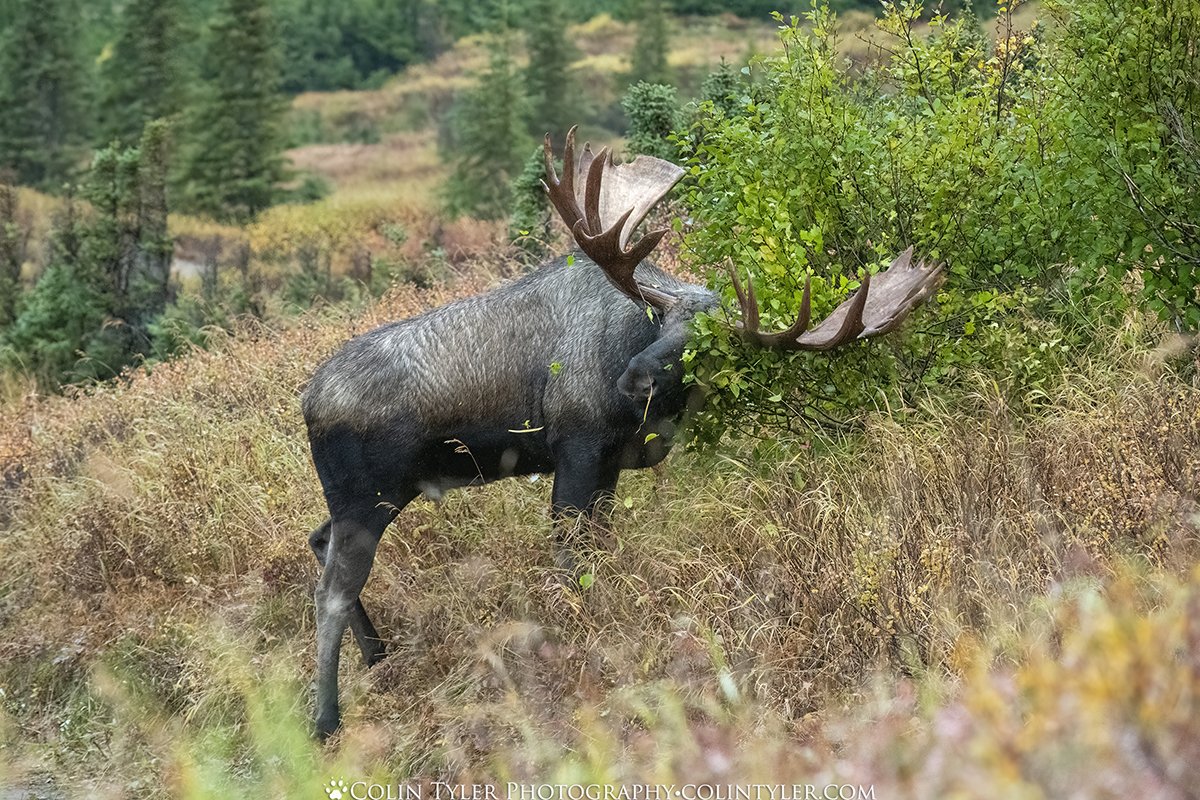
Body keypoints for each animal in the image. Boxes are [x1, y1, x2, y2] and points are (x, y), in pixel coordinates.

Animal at [301, 127, 944, 739]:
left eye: (710, 346)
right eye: (663, 320)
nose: (633, 381)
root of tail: (308, 402)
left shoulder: (609, 464)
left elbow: (598, 550)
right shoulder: (577, 447)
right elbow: (568, 556)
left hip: (377, 494)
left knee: (318, 541)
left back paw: (378, 658)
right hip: (368, 495)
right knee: (330, 591)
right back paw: (325, 718)